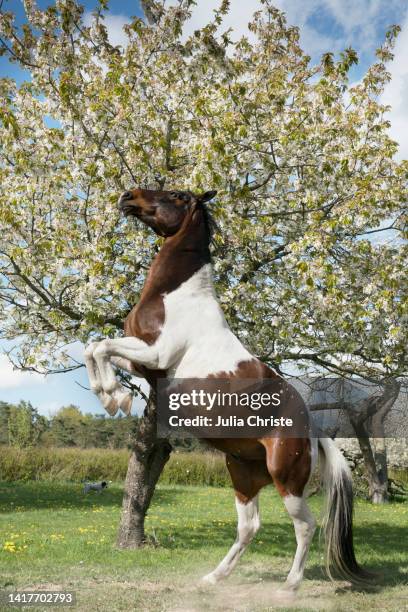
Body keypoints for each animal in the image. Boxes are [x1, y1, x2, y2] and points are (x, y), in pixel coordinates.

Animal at [84, 186, 368, 592]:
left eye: (175, 194)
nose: (128, 196)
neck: (177, 297)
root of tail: (313, 431)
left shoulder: (155, 354)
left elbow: (101, 346)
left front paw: (113, 396)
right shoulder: (142, 362)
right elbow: (94, 347)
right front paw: (111, 397)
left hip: (287, 481)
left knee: (305, 526)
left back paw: (289, 586)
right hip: (243, 475)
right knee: (249, 526)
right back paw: (215, 577)